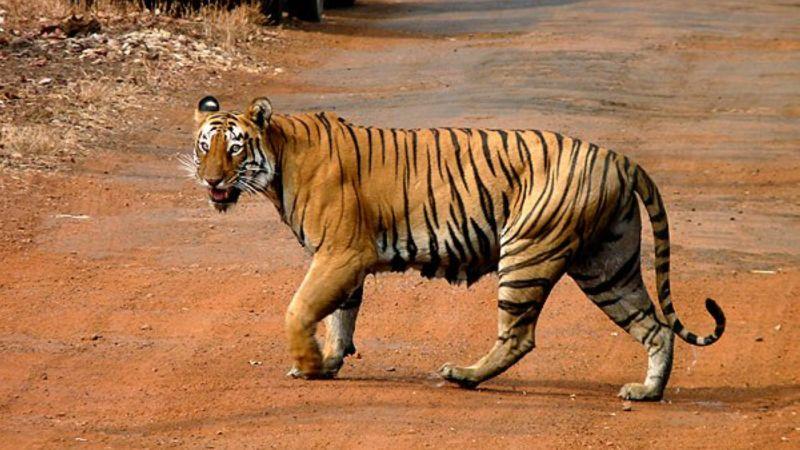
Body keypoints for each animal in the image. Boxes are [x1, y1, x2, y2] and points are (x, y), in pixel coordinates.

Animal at [185, 95, 725, 401]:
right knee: (655, 327)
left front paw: (308, 364)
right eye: (204, 146)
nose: (210, 181)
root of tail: (618, 157)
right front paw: (330, 362)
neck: (279, 157)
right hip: (608, 265)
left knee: (519, 336)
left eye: (234, 147)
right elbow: (341, 316)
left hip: (527, 252)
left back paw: (463, 376)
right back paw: (647, 391)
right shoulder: (343, 261)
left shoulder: (340, 253)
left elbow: (299, 310)